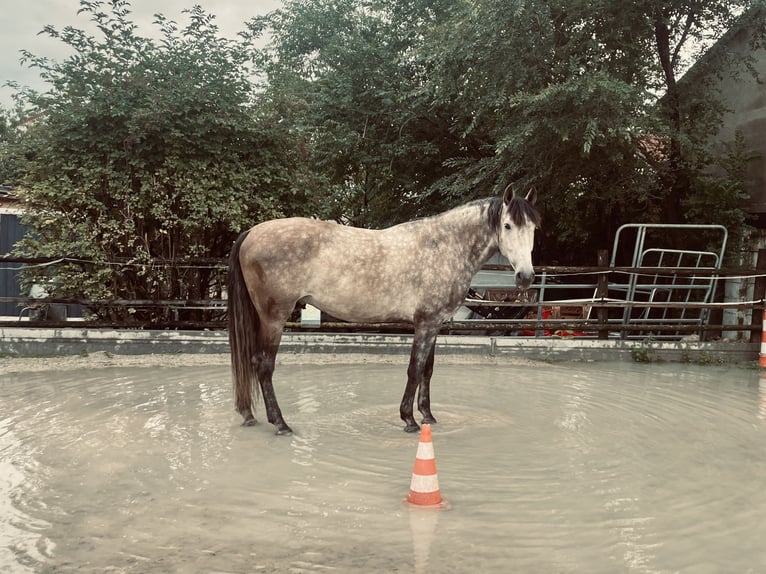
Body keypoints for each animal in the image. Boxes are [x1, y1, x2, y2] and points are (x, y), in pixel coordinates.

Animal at [228, 185, 540, 435]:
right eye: (508, 225)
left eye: (533, 228)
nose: (526, 276)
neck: (443, 246)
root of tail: (251, 232)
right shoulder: (425, 324)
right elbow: (414, 369)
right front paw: (409, 420)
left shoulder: (435, 323)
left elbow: (427, 370)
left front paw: (428, 415)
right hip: (274, 318)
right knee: (264, 365)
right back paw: (280, 423)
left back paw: (249, 415)